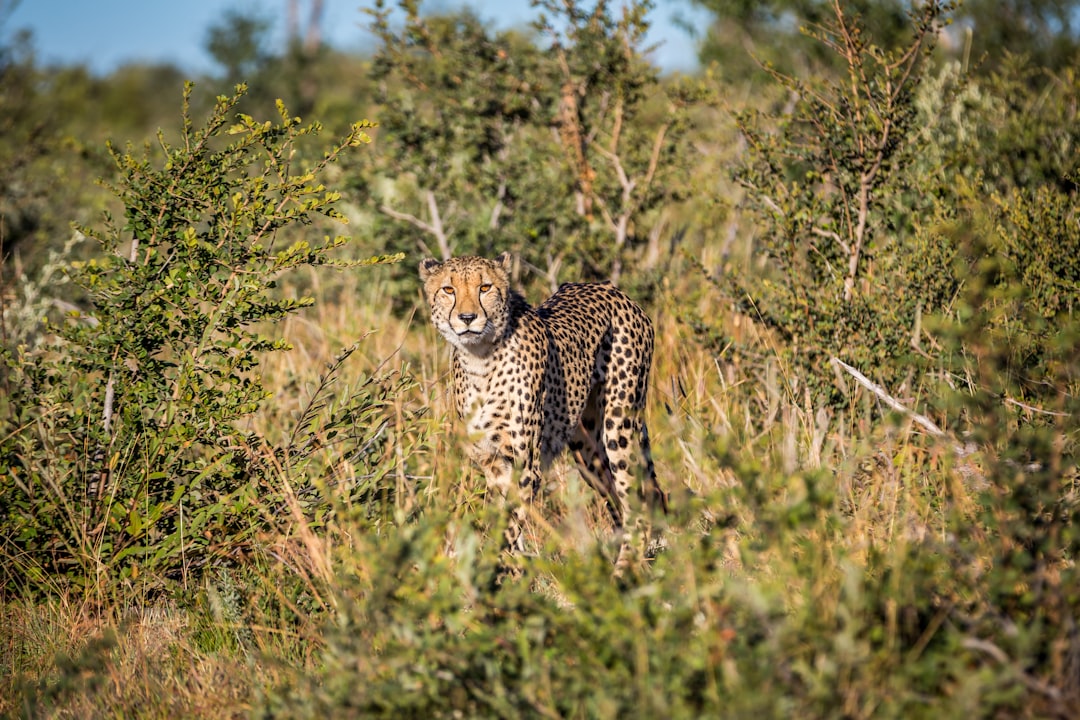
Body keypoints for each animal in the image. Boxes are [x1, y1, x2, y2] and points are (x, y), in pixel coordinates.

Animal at [414, 252, 660, 561]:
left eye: (485, 287)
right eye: (448, 289)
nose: (467, 318)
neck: (480, 359)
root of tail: (610, 288)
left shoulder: (526, 461)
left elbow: (510, 524)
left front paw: (501, 565)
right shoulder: (492, 461)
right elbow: (504, 518)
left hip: (619, 426)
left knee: (637, 503)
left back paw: (626, 566)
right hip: (587, 448)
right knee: (621, 501)